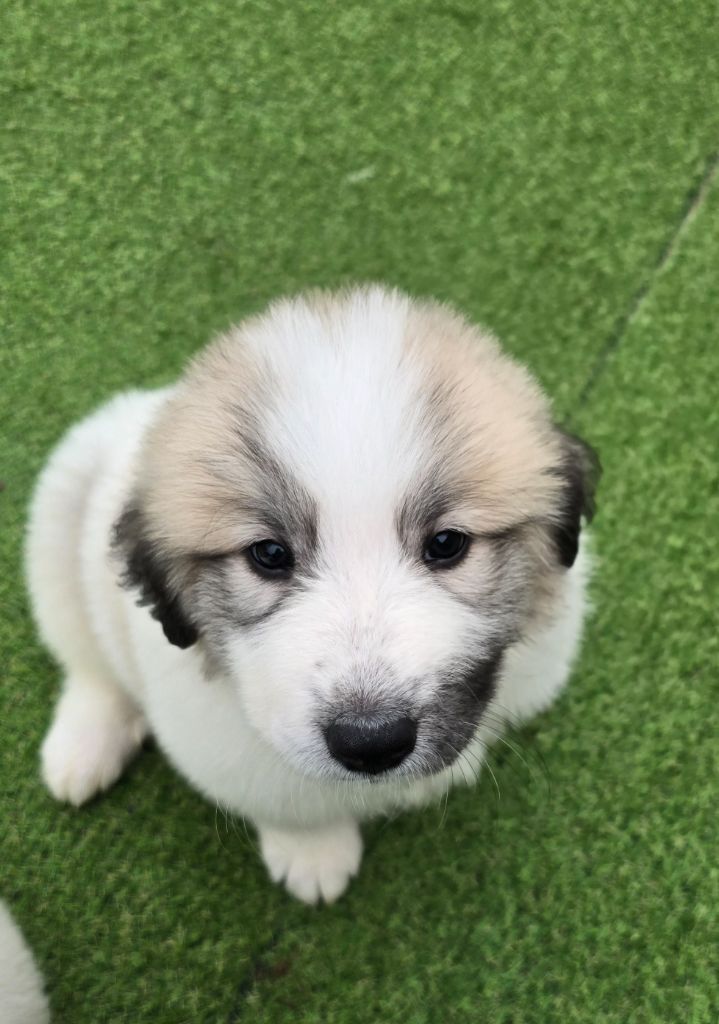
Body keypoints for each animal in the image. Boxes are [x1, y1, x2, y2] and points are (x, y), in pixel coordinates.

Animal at [25, 284, 598, 901]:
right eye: (270, 554)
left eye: (447, 543)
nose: (371, 741)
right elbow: (287, 801)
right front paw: (312, 853)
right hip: (61, 510)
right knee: (86, 661)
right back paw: (83, 747)